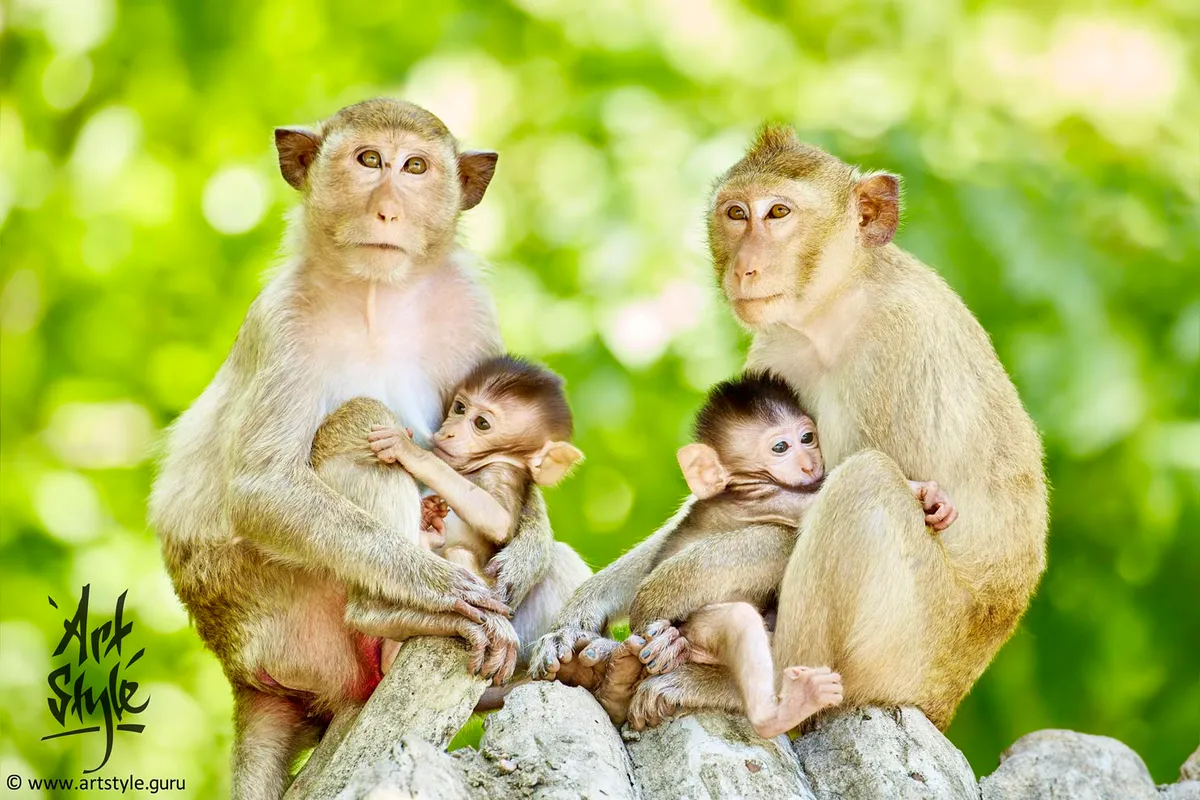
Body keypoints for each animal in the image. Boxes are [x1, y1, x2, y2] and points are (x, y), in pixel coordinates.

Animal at [149, 99, 590, 800]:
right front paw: (444, 589)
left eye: (414, 167)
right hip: (287, 626)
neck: (375, 295)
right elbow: (264, 487)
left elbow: (518, 485)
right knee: (359, 424)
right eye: (368, 160)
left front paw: (525, 551)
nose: (387, 208)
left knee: (560, 567)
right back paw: (392, 614)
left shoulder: (467, 307)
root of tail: (238, 673)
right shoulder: (282, 321)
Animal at [531, 125, 1047, 734]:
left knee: (863, 482)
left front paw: (657, 603)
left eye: (778, 212)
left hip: (912, 654)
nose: (744, 267)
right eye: (736, 214)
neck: (838, 305)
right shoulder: (777, 346)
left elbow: (812, 507)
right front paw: (578, 616)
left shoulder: (896, 346)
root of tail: (947, 701)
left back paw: (764, 693)